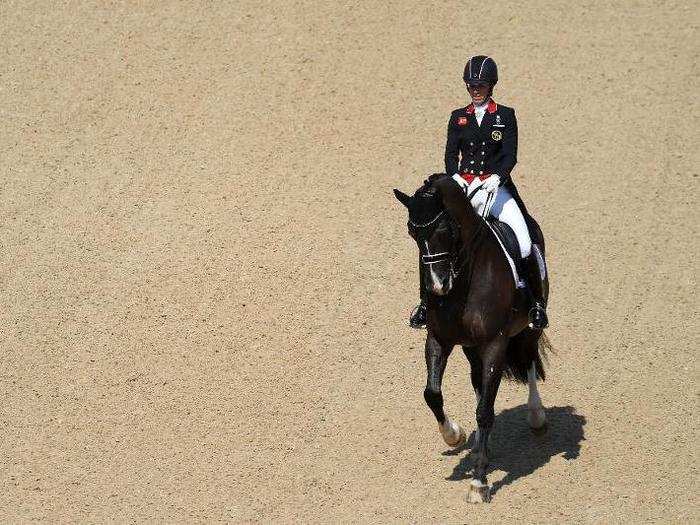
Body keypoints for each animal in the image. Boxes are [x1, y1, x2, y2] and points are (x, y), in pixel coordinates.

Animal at [394, 173, 552, 504]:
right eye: (412, 232)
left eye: (443, 229)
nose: (437, 286)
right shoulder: (439, 339)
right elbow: (432, 394)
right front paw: (455, 435)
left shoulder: (495, 343)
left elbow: (485, 411)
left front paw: (479, 482)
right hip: (470, 347)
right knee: (478, 380)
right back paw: (482, 441)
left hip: (530, 328)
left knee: (529, 360)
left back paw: (536, 416)